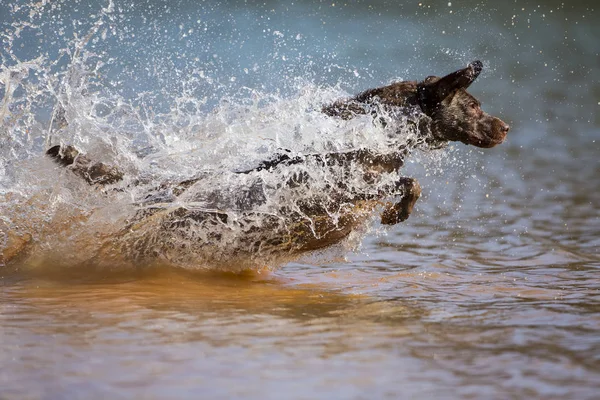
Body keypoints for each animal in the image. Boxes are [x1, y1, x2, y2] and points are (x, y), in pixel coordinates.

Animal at [2, 61, 508, 268]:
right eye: (474, 105)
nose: (506, 127)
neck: (374, 137)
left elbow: (409, 182)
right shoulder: (346, 191)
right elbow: (407, 183)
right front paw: (397, 212)